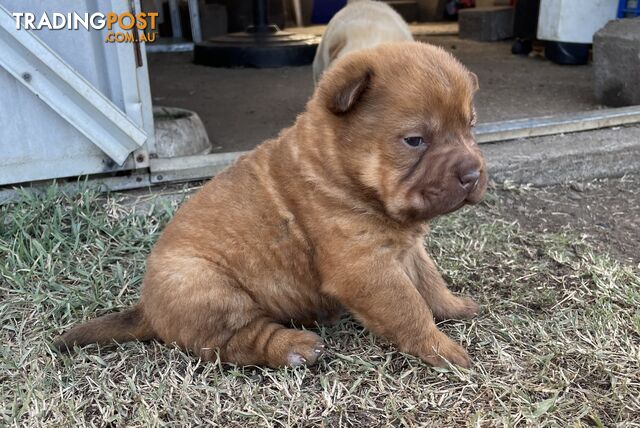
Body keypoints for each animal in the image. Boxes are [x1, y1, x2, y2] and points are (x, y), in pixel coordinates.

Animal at [57, 44, 488, 372]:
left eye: (469, 126)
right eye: (415, 140)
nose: (473, 173)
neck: (336, 170)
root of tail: (147, 308)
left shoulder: (408, 250)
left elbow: (430, 284)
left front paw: (456, 307)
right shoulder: (365, 267)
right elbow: (409, 308)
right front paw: (443, 350)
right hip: (206, 286)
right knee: (237, 341)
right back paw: (295, 347)